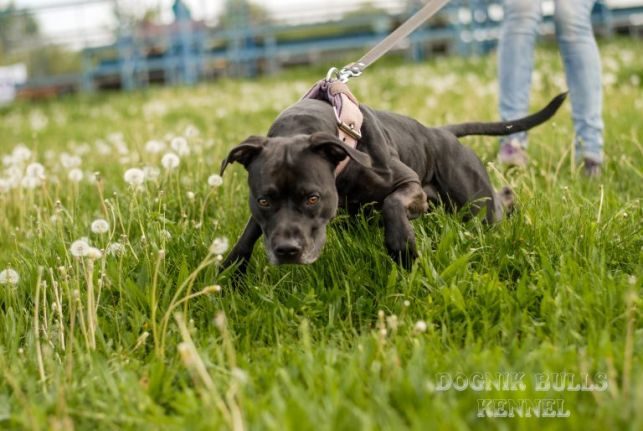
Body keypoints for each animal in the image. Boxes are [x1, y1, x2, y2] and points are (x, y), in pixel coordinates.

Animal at [219, 93, 568, 272]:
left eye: (312, 198)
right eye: (264, 201)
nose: (287, 251)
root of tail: (440, 132)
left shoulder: (410, 186)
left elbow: (391, 203)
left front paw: (402, 247)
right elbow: (249, 233)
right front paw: (230, 271)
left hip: (476, 204)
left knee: (498, 202)